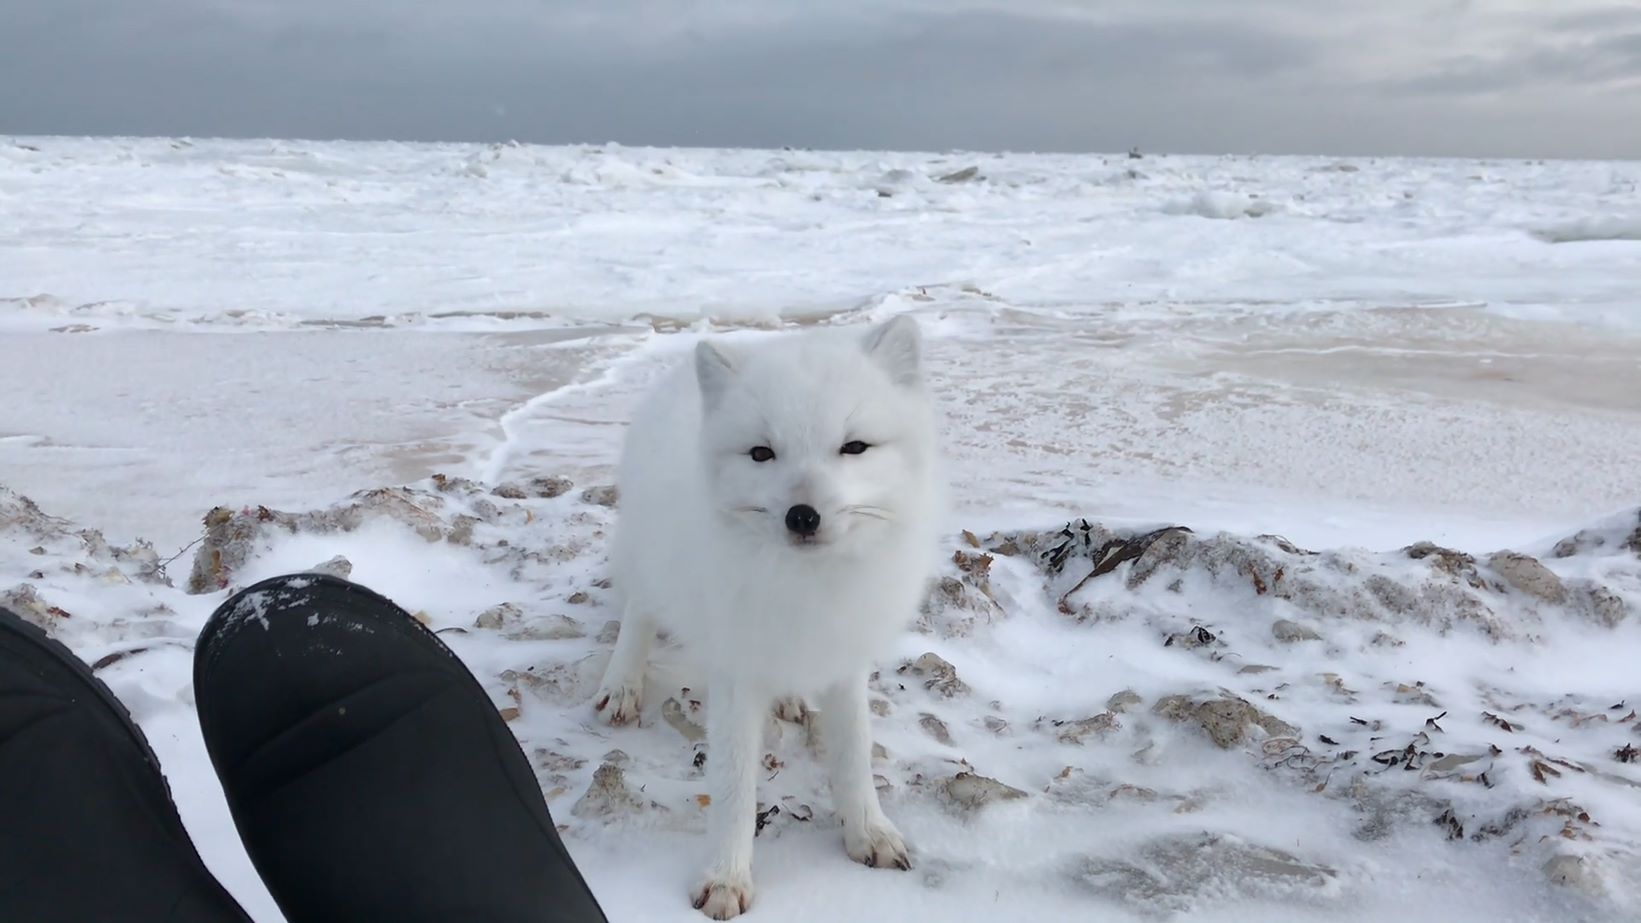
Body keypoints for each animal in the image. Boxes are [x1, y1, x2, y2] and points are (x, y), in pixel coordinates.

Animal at [597, 313, 945, 913]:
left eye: (854, 447)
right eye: (761, 453)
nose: (802, 516)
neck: (806, 587)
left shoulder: (844, 658)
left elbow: (854, 752)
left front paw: (869, 832)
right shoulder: (736, 671)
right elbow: (734, 784)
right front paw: (725, 878)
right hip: (648, 558)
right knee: (640, 611)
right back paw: (622, 682)